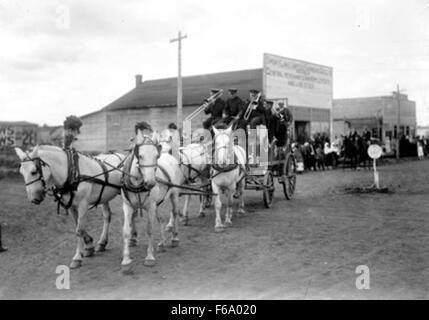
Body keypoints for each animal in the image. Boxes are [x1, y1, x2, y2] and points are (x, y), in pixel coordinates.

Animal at [119, 127, 185, 268]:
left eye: (156, 156)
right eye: (140, 156)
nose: (150, 183)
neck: (138, 185)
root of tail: (169, 156)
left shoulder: (150, 206)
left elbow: (149, 229)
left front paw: (149, 257)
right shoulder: (127, 205)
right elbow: (126, 230)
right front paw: (126, 259)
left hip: (174, 194)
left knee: (175, 212)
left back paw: (175, 238)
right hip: (157, 203)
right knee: (160, 218)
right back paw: (161, 243)